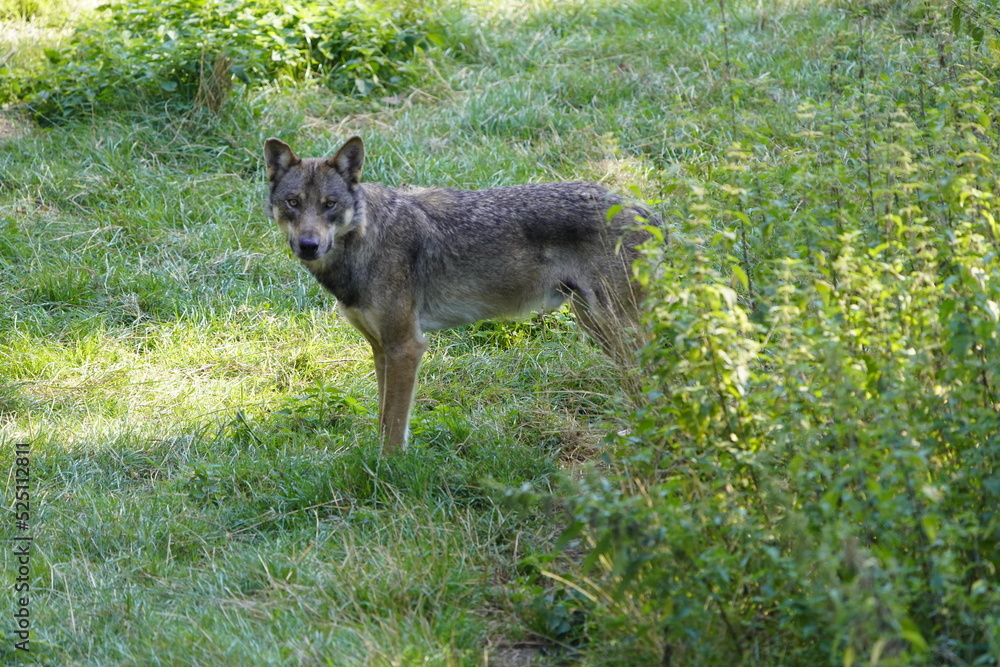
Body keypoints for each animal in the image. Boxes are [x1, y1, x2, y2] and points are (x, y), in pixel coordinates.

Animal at [264, 136, 658, 454]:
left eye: (329, 204)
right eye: (293, 202)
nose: (309, 245)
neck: (366, 240)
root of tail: (647, 210)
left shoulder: (406, 347)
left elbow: (394, 426)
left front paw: (387, 472)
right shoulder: (380, 349)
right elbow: (382, 416)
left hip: (614, 328)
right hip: (596, 327)